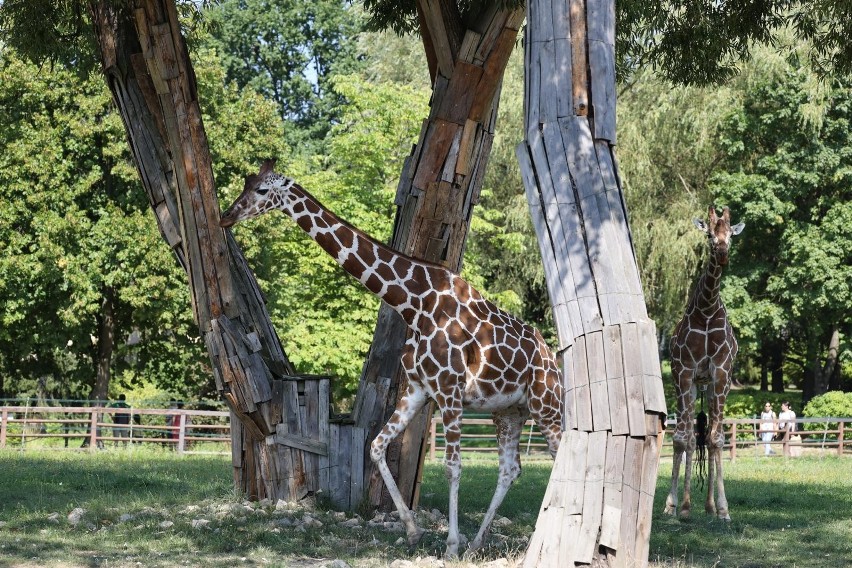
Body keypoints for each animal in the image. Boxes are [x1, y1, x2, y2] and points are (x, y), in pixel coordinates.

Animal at [221, 159, 564, 556]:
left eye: (262, 190)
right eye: (246, 183)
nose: (227, 216)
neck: (413, 303)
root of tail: (553, 361)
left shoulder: (449, 391)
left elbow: (453, 466)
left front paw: (450, 545)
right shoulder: (418, 388)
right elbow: (376, 446)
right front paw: (414, 530)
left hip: (546, 405)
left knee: (561, 453)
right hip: (509, 411)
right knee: (511, 469)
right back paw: (478, 543)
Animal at [664, 206, 744, 520]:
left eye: (730, 235)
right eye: (709, 235)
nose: (721, 253)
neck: (707, 310)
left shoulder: (721, 374)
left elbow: (715, 439)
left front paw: (723, 509)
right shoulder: (684, 372)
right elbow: (681, 439)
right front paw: (676, 506)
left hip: (708, 387)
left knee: (707, 437)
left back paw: (709, 506)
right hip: (689, 384)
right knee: (688, 438)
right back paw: (683, 506)